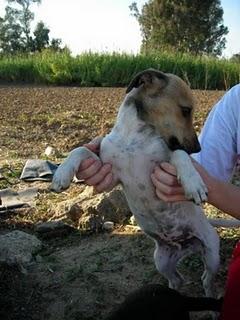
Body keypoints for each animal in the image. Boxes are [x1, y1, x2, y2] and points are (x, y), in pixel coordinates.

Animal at [50, 69, 238, 296]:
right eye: (185, 110)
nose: (197, 149)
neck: (135, 137)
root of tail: (185, 245)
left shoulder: (167, 157)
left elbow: (179, 155)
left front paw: (194, 183)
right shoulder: (111, 172)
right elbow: (79, 149)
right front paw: (61, 174)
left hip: (211, 252)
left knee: (206, 280)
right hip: (162, 260)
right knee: (177, 280)